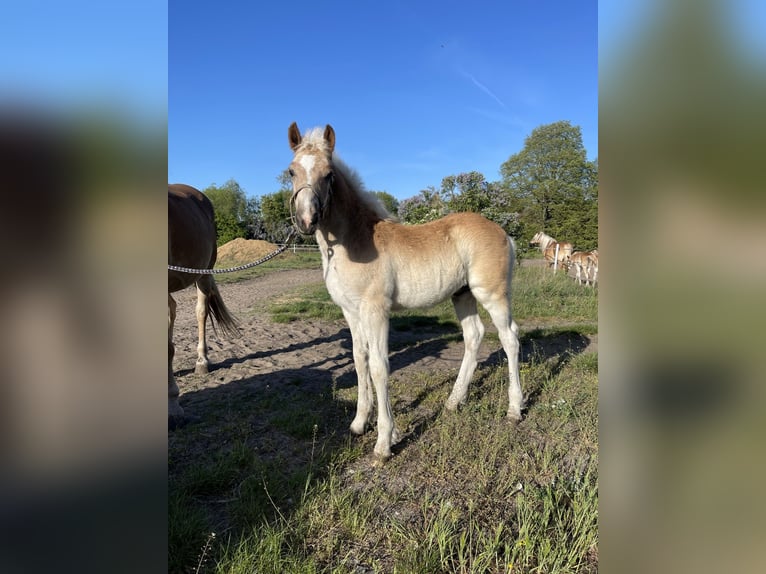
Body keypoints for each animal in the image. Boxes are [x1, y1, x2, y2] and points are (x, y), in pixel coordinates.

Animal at [290, 122, 528, 464]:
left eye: (329, 174)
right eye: (291, 171)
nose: (307, 221)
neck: (354, 241)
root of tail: (504, 233)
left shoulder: (376, 310)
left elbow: (379, 366)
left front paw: (384, 443)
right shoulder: (351, 311)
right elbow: (359, 360)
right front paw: (359, 423)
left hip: (492, 294)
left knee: (510, 338)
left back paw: (514, 409)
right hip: (463, 294)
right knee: (474, 335)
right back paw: (454, 402)